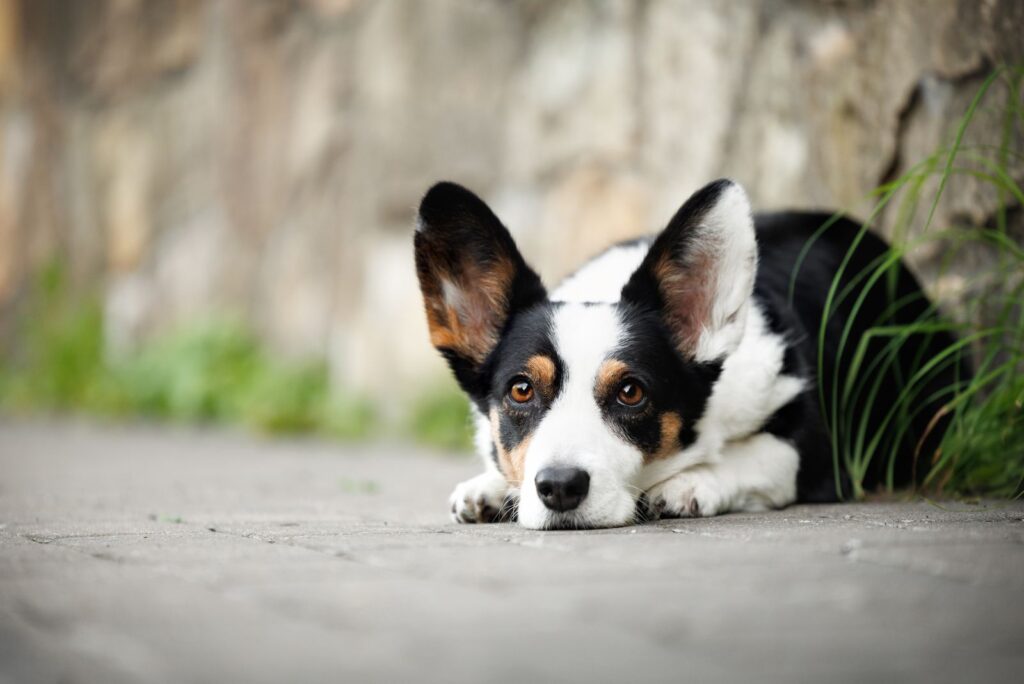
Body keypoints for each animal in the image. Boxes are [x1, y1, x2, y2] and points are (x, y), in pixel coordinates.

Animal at [409, 178, 958, 528]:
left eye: (631, 392)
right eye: (521, 390)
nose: (560, 487)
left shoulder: (814, 447)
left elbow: (750, 454)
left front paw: (689, 484)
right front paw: (491, 487)